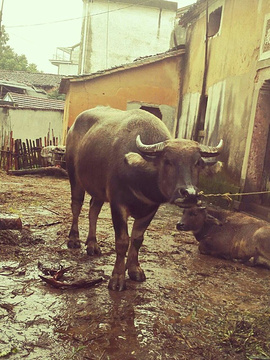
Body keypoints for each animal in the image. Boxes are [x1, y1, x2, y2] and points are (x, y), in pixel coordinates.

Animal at [66, 106, 223, 290]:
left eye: (197, 163)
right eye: (167, 161)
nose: (189, 194)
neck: (140, 178)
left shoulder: (150, 208)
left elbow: (137, 239)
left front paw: (134, 269)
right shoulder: (117, 204)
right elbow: (122, 241)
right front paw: (117, 278)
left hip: (98, 190)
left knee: (93, 211)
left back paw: (92, 244)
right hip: (74, 176)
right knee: (76, 205)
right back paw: (73, 239)